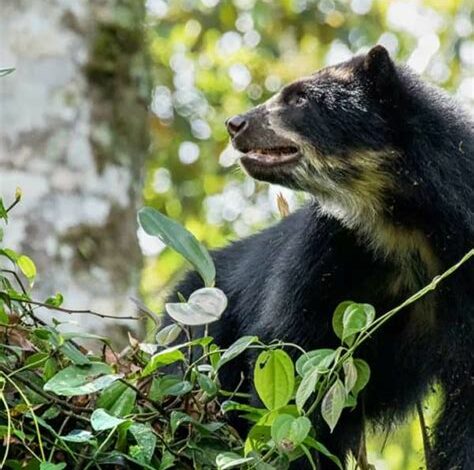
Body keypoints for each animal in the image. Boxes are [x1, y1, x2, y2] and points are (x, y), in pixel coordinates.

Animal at [168, 45, 472, 470]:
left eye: (299, 99)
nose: (235, 123)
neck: (400, 222)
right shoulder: (326, 250)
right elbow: (293, 353)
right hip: (198, 332)